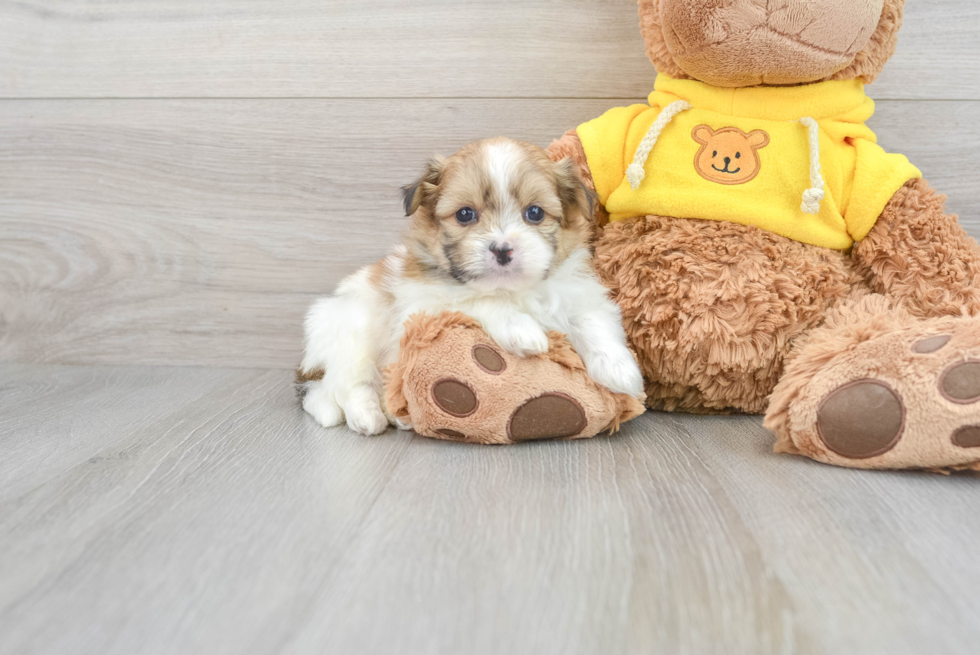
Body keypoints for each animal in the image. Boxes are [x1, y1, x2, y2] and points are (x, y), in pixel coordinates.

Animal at [298, 137, 644, 436]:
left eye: (534, 213)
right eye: (465, 214)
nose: (502, 249)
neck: (514, 289)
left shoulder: (579, 292)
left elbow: (592, 321)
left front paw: (621, 372)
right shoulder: (423, 304)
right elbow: (478, 300)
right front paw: (522, 329)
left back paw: (398, 416)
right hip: (352, 327)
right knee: (342, 386)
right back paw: (367, 415)